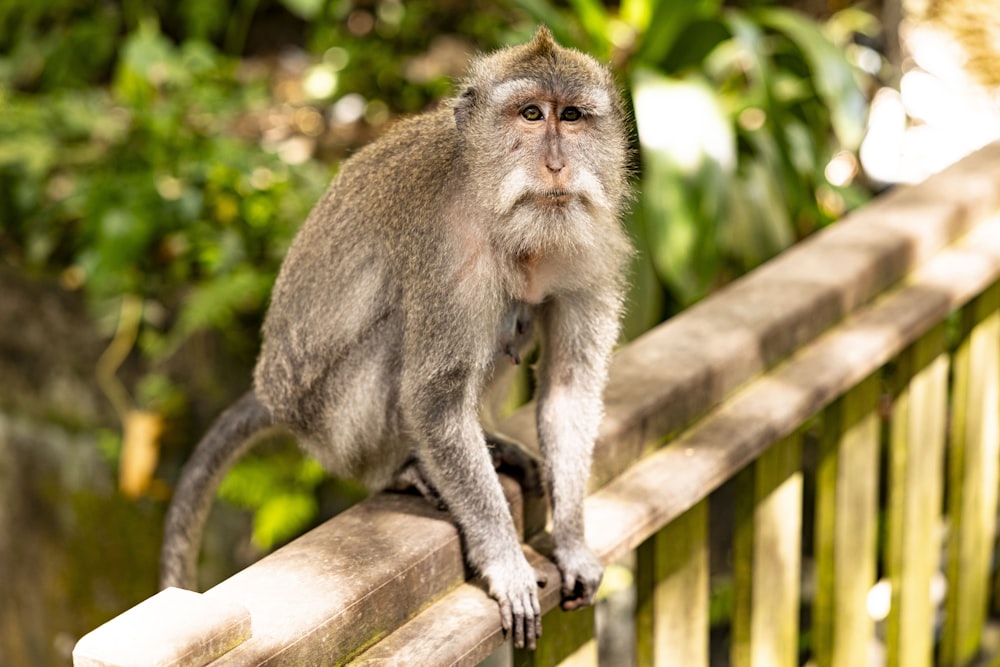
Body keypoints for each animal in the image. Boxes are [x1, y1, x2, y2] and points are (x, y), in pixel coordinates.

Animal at [161, 27, 632, 652]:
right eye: (531, 114)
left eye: (572, 116)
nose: (556, 164)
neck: (498, 208)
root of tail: (275, 399)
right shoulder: (449, 253)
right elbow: (434, 399)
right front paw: (505, 561)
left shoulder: (589, 247)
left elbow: (569, 385)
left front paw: (573, 542)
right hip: (333, 425)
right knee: (403, 337)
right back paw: (400, 470)